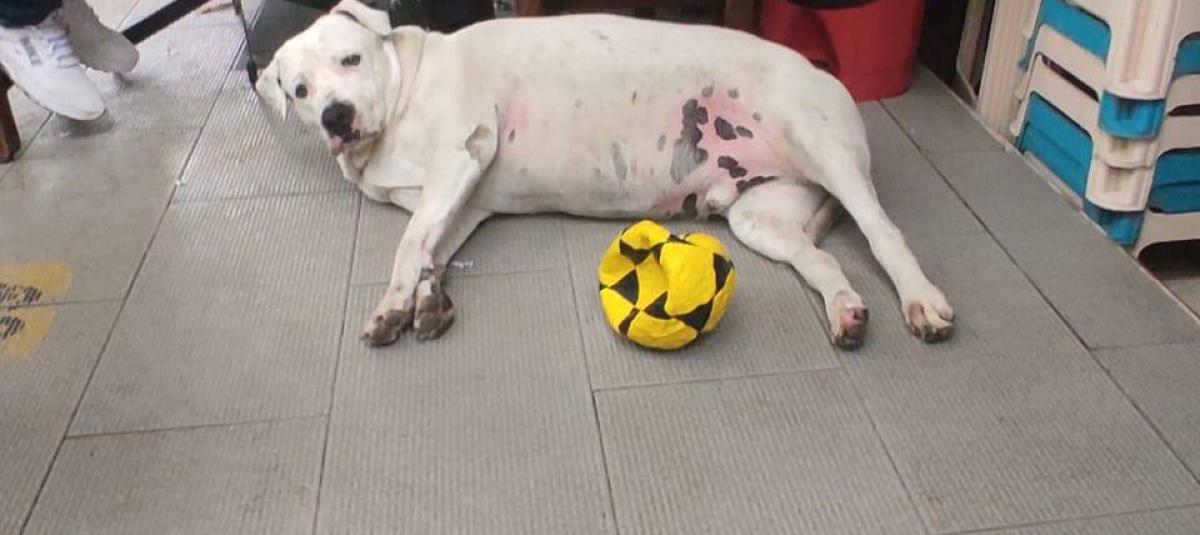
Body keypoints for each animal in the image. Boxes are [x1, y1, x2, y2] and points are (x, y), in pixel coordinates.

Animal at [256, 0, 954, 349]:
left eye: (351, 59)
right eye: (299, 89)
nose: (336, 115)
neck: (403, 98)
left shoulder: (461, 156)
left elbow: (407, 247)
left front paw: (393, 304)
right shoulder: (459, 202)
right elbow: (431, 249)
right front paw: (425, 301)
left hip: (822, 149)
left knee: (885, 235)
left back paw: (921, 301)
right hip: (762, 219)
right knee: (820, 259)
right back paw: (845, 312)